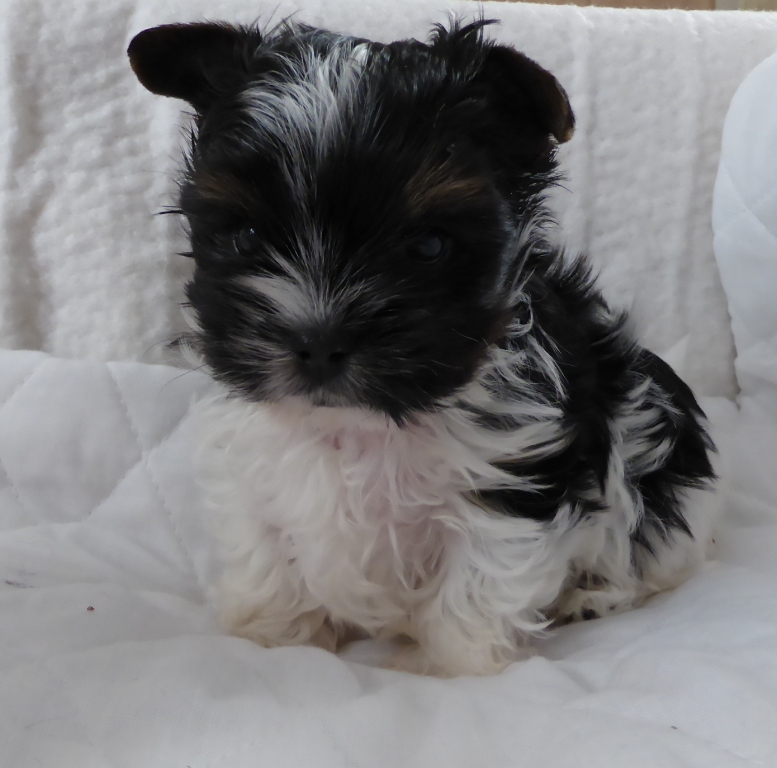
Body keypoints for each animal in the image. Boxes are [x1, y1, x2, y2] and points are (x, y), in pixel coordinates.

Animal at [128, 18, 717, 676]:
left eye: (429, 247)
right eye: (247, 235)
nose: (318, 342)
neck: (357, 425)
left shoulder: (509, 483)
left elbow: (474, 587)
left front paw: (446, 669)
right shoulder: (251, 471)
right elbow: (265, 551)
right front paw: (276, 640)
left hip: (663, 495)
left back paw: (590, 598)